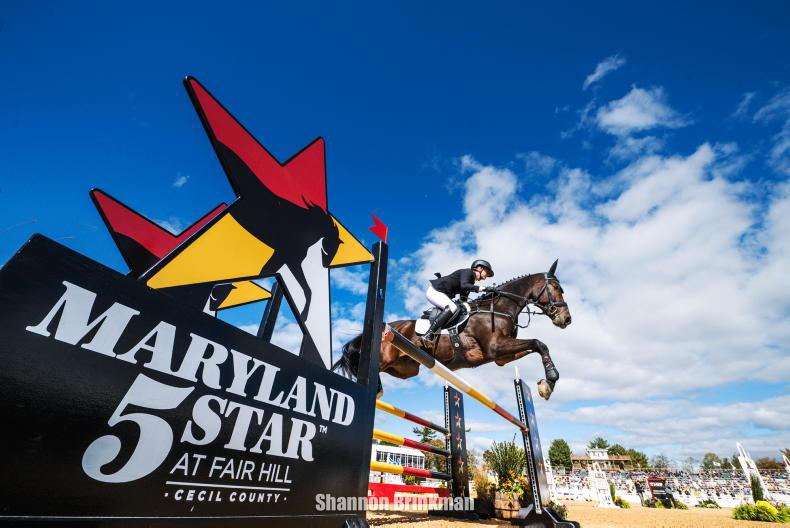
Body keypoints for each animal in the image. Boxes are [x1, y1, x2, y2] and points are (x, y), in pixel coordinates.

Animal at [334, 260, 572, 400]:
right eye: (556, 288)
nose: (567, 319)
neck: (499, 309)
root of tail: (388, 326)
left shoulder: (501, 357)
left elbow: (535, 346)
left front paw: (546, 384)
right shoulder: (496, 347)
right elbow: (539, 343)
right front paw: (550, 381)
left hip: (406, 368)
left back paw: (377, 391)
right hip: (385, 357)